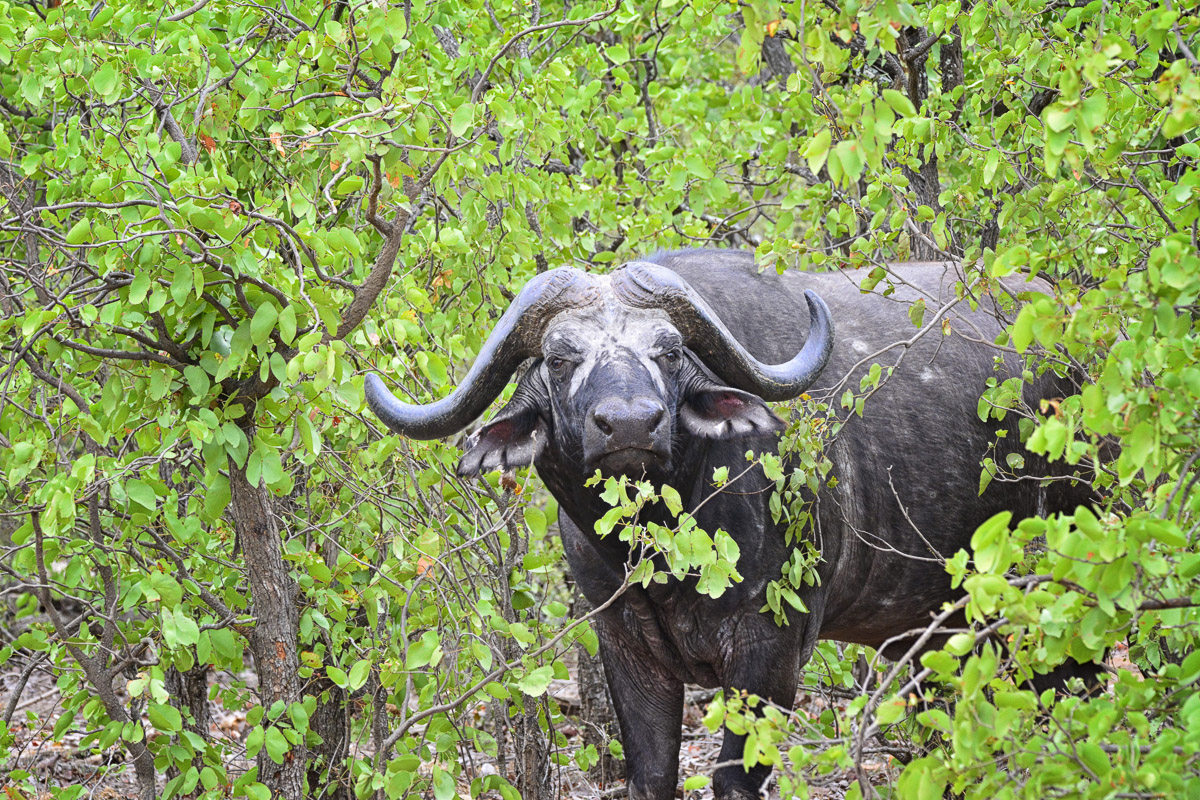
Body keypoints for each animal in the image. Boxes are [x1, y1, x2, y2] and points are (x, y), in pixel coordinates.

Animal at [365, 248, 1095, 800]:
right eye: (561, 357)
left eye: (668, 352)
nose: (629, 424)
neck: (663, 554)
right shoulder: (624, 647)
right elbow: (651, 777)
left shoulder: (768, 650)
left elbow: (734, 781)